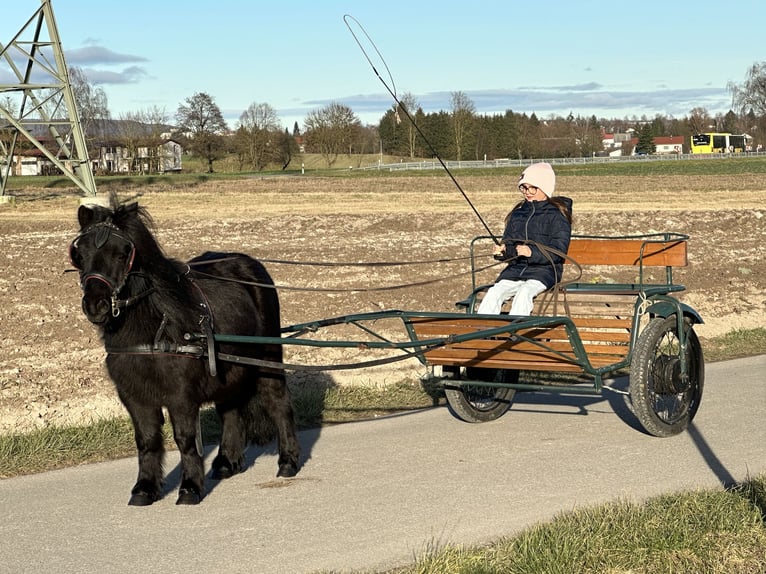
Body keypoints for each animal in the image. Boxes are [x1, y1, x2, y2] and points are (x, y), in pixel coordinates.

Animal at [71, 199, 300, 508]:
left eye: (122, 253)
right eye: (80, 253)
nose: (97, 305)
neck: (154, 328)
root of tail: (250, 264)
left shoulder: (181, 395)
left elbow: (185, 439)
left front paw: (190, 487)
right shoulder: (133, 395)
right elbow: (147, 440)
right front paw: (144, 488)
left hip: (267, 358)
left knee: (278, 402)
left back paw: (288, 461)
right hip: (228, 370)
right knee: (230, 410)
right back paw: (226, 462)